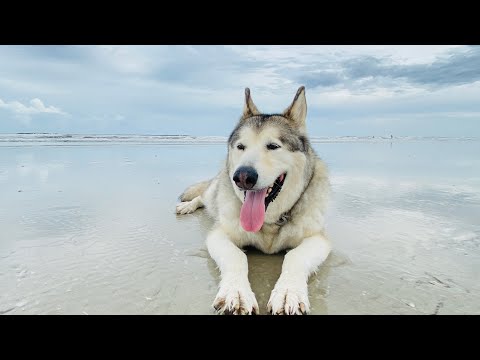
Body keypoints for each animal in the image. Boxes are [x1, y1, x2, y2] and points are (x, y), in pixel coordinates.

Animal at [176, 86, 330, 316]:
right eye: (241, 146)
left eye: (273, 146)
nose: (242, 176)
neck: (270, 222)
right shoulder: (221, 233)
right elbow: (236, 257)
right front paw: (236, 293)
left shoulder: (318, 239)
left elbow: (295, 256)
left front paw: (288, 292)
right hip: (214, 192)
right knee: (201, 196)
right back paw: (188, 205)